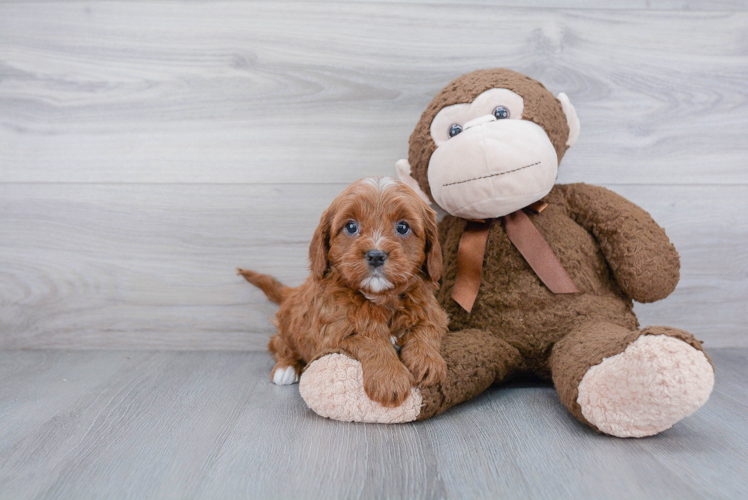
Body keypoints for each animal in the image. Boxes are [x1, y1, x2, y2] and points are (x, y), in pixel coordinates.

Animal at [240, 178, 448, 408]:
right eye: (351, 226)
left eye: (403, 227)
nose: (376, 255)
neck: (380, 297)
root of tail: (292, 292)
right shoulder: (335, 331)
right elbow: (370, 340)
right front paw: (389, 378)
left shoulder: (431, 311)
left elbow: (426, 330)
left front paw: (427, 361)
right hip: (288, 329)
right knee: (279, 344)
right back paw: (286, 367)